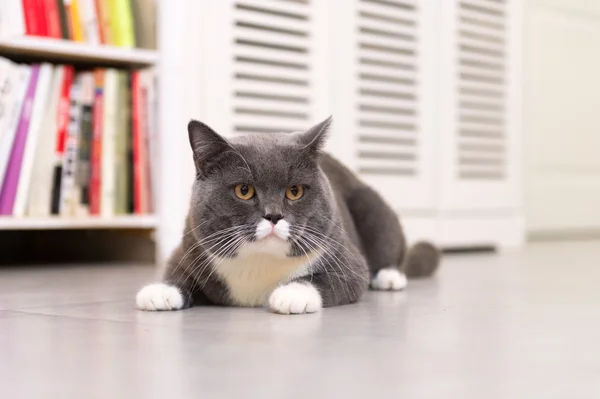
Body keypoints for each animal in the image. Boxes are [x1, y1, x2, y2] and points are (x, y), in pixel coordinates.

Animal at [136, 117, 438, 314]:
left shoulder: (348, 259)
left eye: (294, 191)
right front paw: (161, 291)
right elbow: (175, 270)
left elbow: (334, 278)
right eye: (244, 190)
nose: (273, 215)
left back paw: (390, 277)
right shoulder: (191, 243)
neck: (259, 262)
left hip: (371, 204)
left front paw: (292, 293)